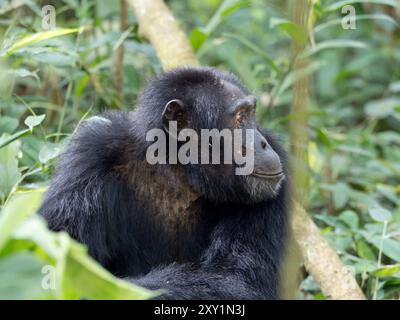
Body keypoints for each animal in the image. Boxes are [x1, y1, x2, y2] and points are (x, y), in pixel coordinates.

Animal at [39, 67, 290, 300]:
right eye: (239, 118)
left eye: (251, 114)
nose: (262, 142)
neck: (177, 174)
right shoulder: (91, 157)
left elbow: (236, 279)